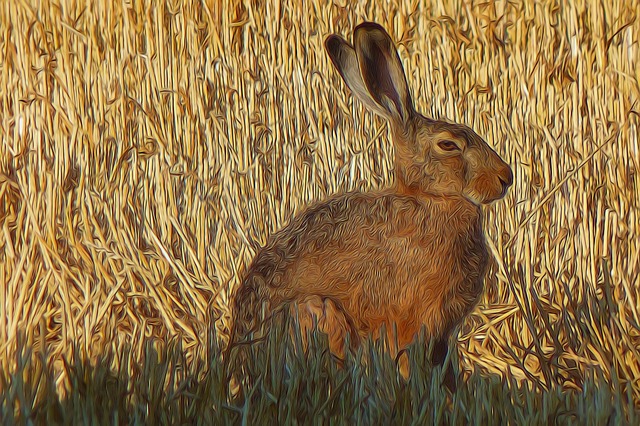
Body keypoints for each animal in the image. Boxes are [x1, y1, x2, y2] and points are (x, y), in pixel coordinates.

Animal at [227, 22, 513, 391]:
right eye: (449, 145)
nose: (506, 178)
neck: (431, 199)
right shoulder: (411, 318)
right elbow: (405, 359)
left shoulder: (442, 334)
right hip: (318, 312)